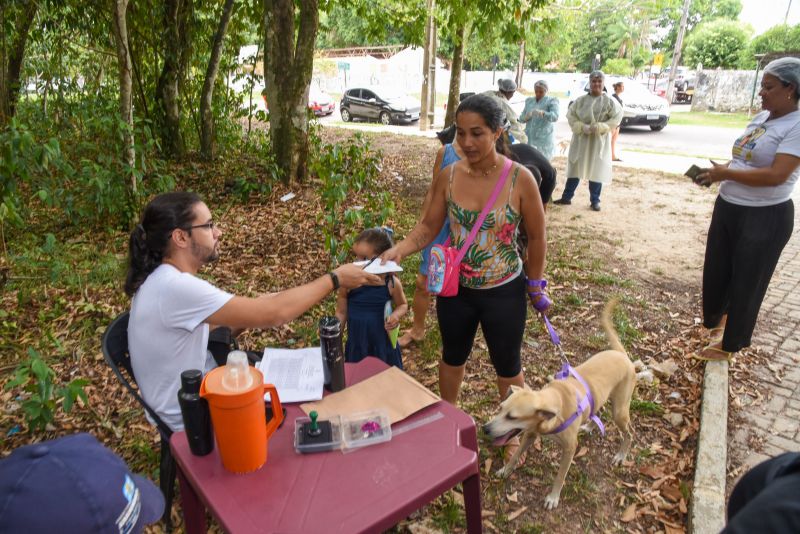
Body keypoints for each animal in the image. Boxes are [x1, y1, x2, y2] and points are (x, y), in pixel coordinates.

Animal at [484, 302, 636, 510]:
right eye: (500, 408)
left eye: (512, 417)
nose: (485, 429)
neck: (556, 400)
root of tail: (622, 354)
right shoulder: (529, 435)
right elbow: (516, 456)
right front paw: (506, 469)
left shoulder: (570, 449)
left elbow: (560, 477)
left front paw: (553, 497)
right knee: (598, 410)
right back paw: (590, 425)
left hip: (619, 412)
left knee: (629, 433)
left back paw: (621, 455)